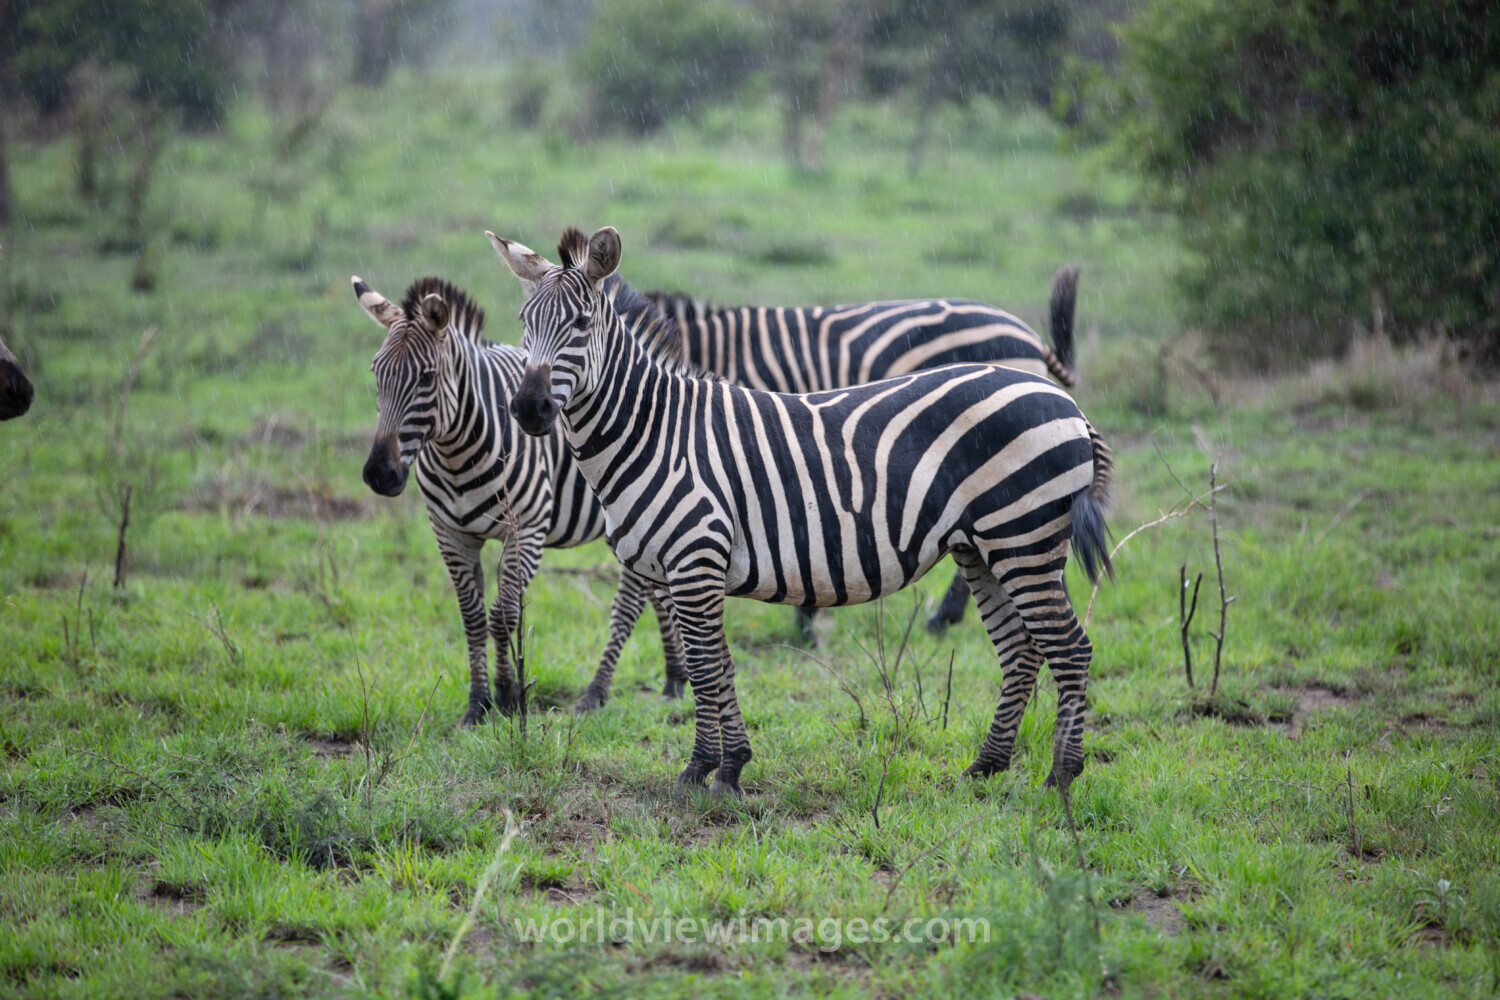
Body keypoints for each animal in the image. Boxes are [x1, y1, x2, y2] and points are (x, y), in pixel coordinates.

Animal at [353, 275, 688, 723]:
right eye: (376, 372)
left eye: (426, 376)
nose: (379, 473)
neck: (456, 453)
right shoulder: (450, 535)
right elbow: (473, 618)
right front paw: (477, 704)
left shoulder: (526, 532)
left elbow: (504, 615)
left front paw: (507, 696)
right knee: (657, 592)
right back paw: (675, 678)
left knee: (631, 601)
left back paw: (597, 692)